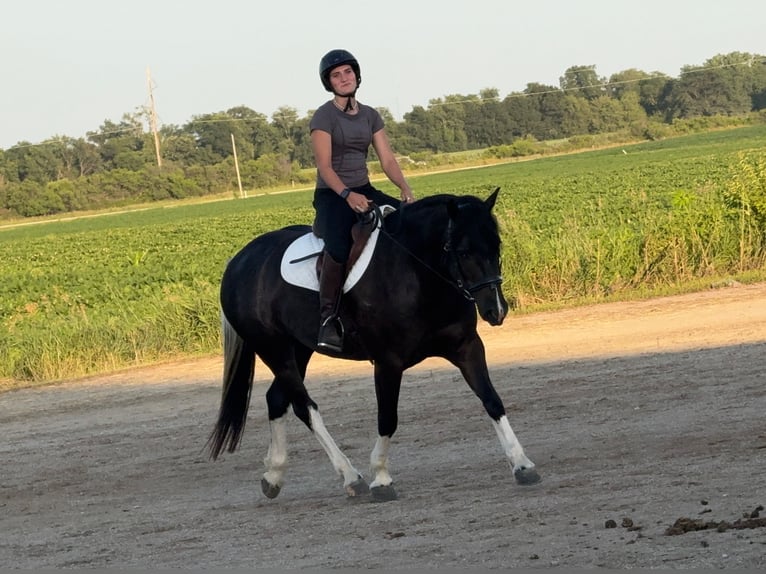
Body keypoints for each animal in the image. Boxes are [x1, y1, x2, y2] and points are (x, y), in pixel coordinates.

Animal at [208, 187, 540, 501]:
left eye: (496, 245)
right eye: (462, 252)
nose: (496, 310)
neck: (418, 273)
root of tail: (238, 261)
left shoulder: (467, 347)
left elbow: (492, 400)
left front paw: (522, 464)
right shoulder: (388, 362)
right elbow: (387, 418)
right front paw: (380, 477)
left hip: (298, 349)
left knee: (277, 399)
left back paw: (274, 476)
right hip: (274, 350)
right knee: (304, 406)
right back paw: (350, 476)